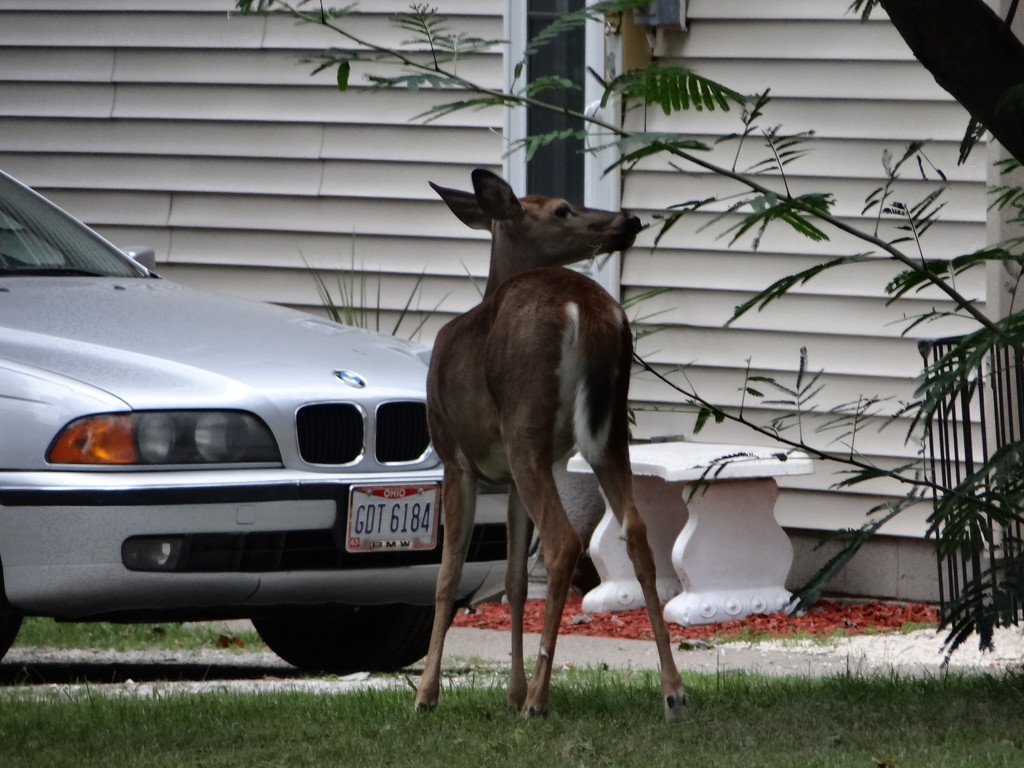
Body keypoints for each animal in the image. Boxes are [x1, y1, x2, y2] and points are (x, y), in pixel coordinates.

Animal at [413, 166, 688, 720]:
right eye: (562, 209)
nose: (629, 220)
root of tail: (589, 309)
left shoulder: (455, 456)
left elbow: (448, 575)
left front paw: (427, 694)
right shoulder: (508, 475)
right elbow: (516, 581)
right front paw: (510, 690)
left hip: (527, 426)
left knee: (564, 541)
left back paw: (539, 701)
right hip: (606, 431)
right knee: (636, 531)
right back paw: (672, 691)